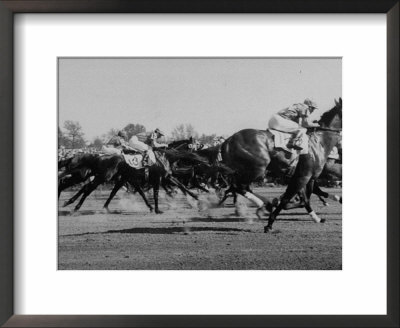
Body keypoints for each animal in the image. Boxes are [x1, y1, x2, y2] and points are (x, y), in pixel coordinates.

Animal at [220, 97, 342, 226]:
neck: (319, 142)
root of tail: (228, 140)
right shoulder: (303, 176)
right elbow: (290, 199)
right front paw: (270, 222)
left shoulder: (307, 177)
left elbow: (304, 199)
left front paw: (316, 218)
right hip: (258, 168)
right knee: (239, 186)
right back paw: (263, 205)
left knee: (237, 187)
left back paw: (264, 205)